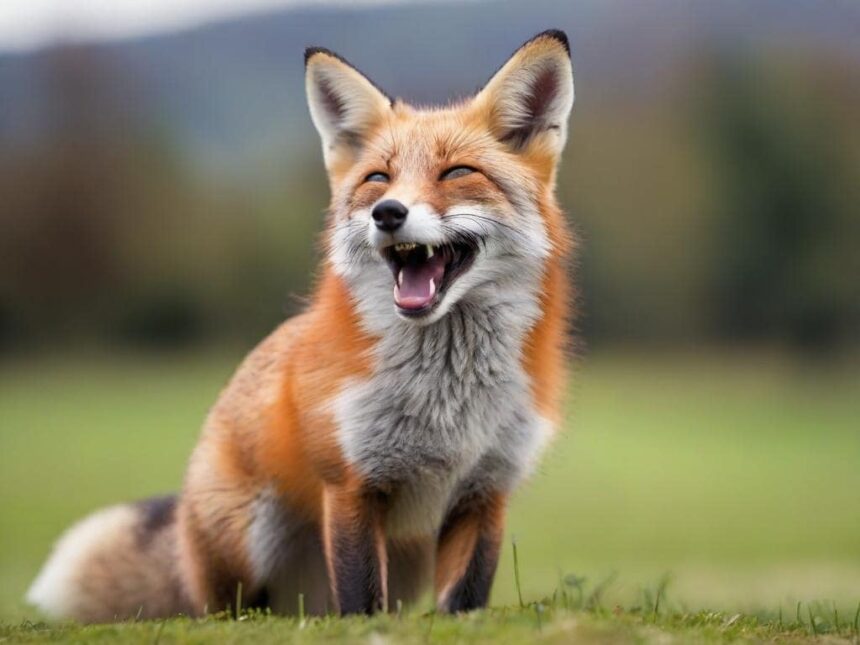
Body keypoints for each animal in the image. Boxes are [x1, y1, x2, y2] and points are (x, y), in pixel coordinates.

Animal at [27, 29, 575, 622]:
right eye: (378, 178)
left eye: (457, 173)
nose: (388, 212)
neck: (447, 401)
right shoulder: (350, 483)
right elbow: (360, 598)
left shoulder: (486, 491)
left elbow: (465, 599)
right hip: (249, 531)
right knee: (238, 608)